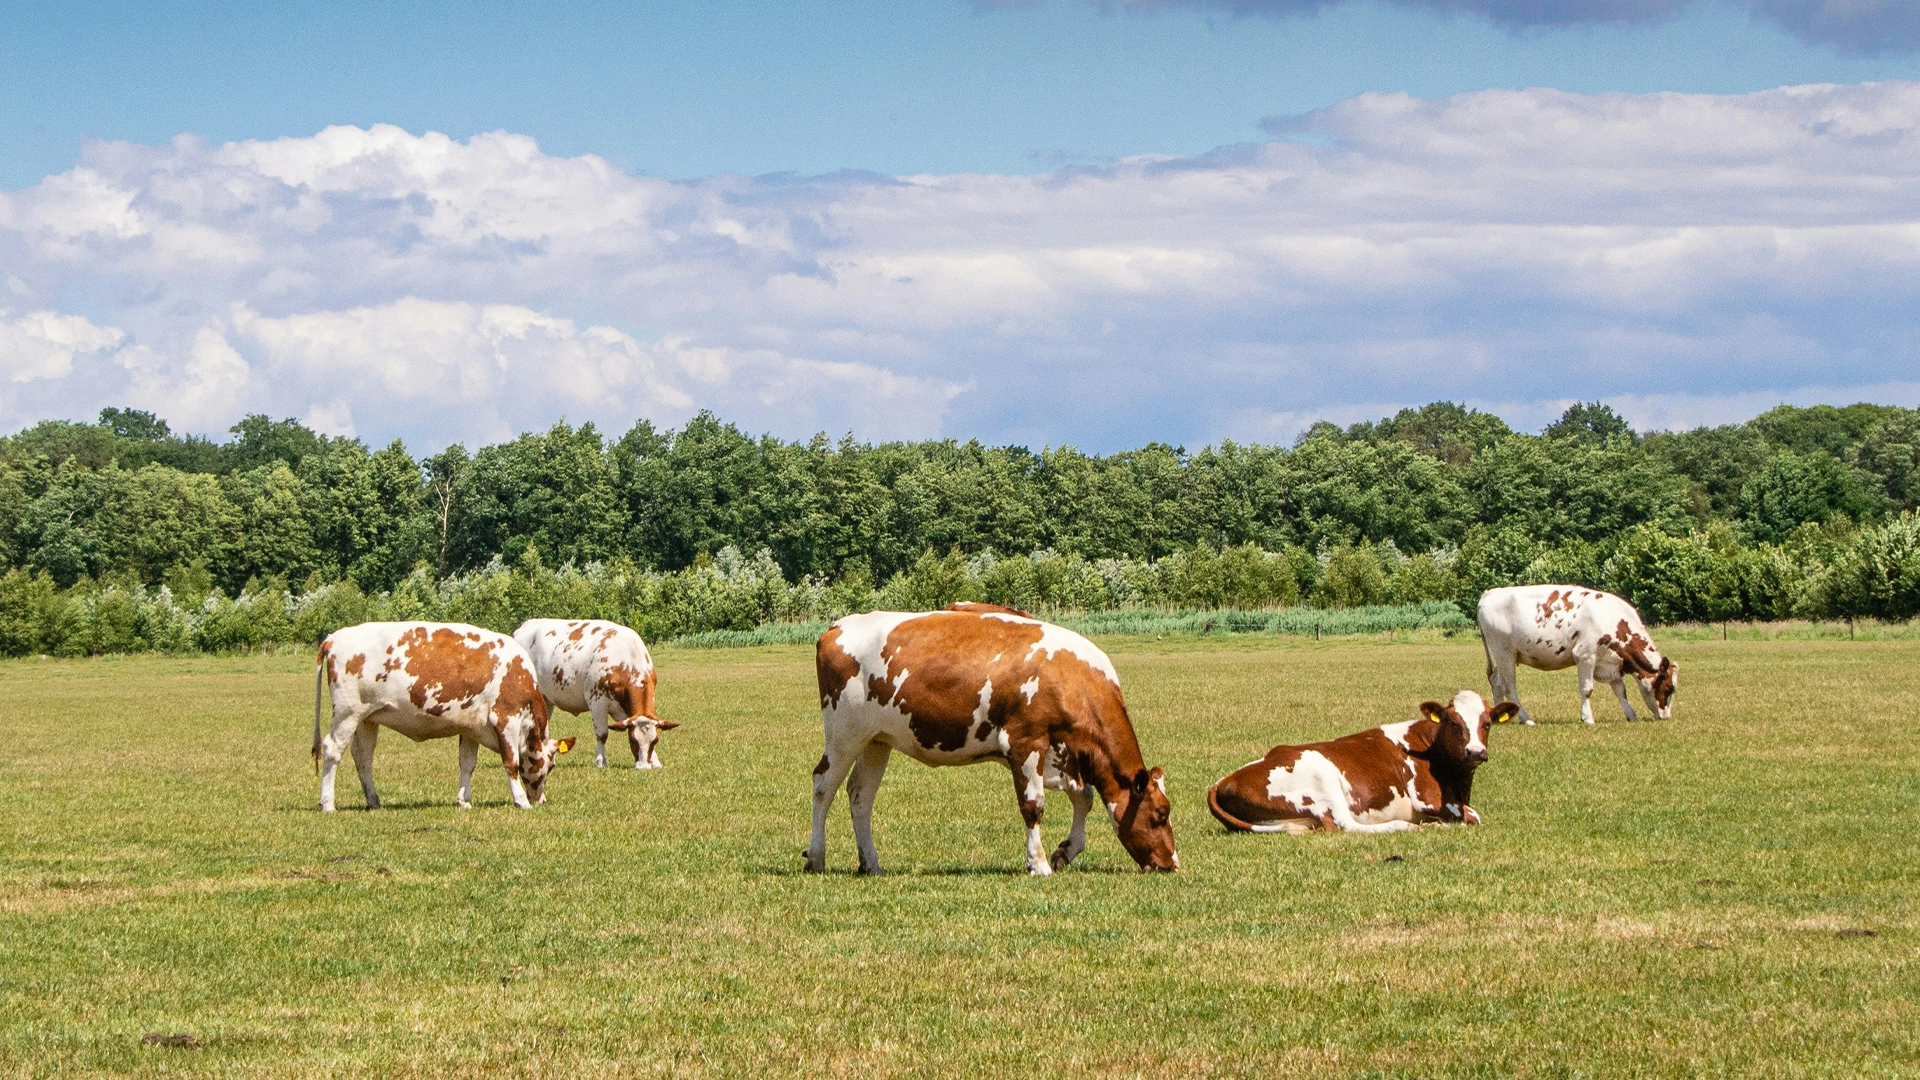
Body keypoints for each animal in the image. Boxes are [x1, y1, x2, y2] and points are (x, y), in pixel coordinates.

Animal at [311, 614, 568, 807]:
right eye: (551, 765)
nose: (540, 800)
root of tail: (332, 638)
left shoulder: (471, 727)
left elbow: (467, 763)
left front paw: (464, 800)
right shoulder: (506, 718)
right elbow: (511, 762)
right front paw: (521, 800)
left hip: (367, 718)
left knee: (363, 757)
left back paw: (373, 800)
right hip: (347, 713)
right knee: (332, 750)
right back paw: (328, 803)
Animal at [514, 614, 679, 764]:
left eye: (655, 740)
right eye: (633, 740)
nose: (643, 766)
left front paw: (655, 761)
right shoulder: (597, 702)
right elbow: (602, 734)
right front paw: (600, 761)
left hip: (546, 700)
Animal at [806, 599, 1175, 868]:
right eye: (1161, 814)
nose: (1173, 864)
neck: (1070, 678)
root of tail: (836, 627)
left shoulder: (1064, 755)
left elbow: (1083, 798)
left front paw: (1065, 853)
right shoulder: (1025, 742)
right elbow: (1034, 805)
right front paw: (1038, 864)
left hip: (876, 740)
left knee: (860, 796)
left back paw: (871, 863)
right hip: (844, 734)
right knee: (824, 786)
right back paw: (816, 857)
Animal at [1205, 687, 1505, 834]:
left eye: (1487, 724)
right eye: (1453, 723)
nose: (1475, 752)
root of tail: (1223, 781)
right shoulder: (1428, 797)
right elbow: (1474, 816)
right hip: (1323, 776)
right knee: (1345, 825)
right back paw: (1411, 826)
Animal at [1466, 580, 1681, 722]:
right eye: (1668, 688)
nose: (1666, 717)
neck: (1612, 618)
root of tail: (1489, 593)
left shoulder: (1611, 662)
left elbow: (1621, 691)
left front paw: (1631, 716)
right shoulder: (1585, 655)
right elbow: (1587, 689)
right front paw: (1588, 718)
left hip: (1503, 655)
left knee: (1497, 682)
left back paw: (1500, 716)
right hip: (1504, 652)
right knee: (1509, 686)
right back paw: (1525, 719)